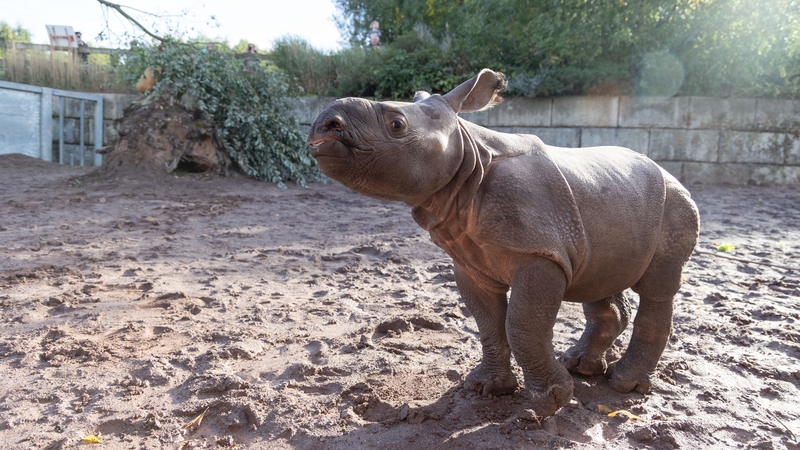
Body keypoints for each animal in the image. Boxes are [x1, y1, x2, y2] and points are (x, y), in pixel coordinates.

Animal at [306, 69, 700, 417]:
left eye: (397, 124)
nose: (324, 124)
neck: (468, 160)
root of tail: (668, 172)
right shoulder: (469, 261)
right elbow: (488, 322)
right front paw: (487, 388)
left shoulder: (539, 253)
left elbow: (522, 325)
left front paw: (550, 402)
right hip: (610, 203)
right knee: (601, 276)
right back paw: (582, 367)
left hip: (675, 203)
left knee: (658, 288)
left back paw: (625, 385)